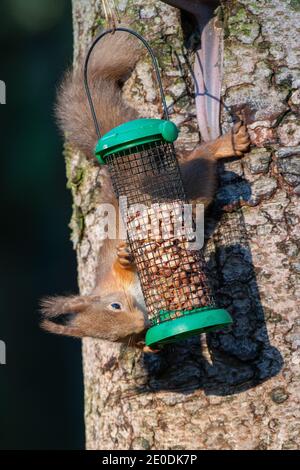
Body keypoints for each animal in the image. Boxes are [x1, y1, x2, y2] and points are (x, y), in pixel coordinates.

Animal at [41, 26, 250, 348]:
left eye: (114, 305)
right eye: (118, 339)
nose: (141, 325)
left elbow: (120, 264)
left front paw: (126, 258)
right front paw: (150, 345)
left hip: (190, 183)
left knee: (202, 158)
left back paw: (225, 144)